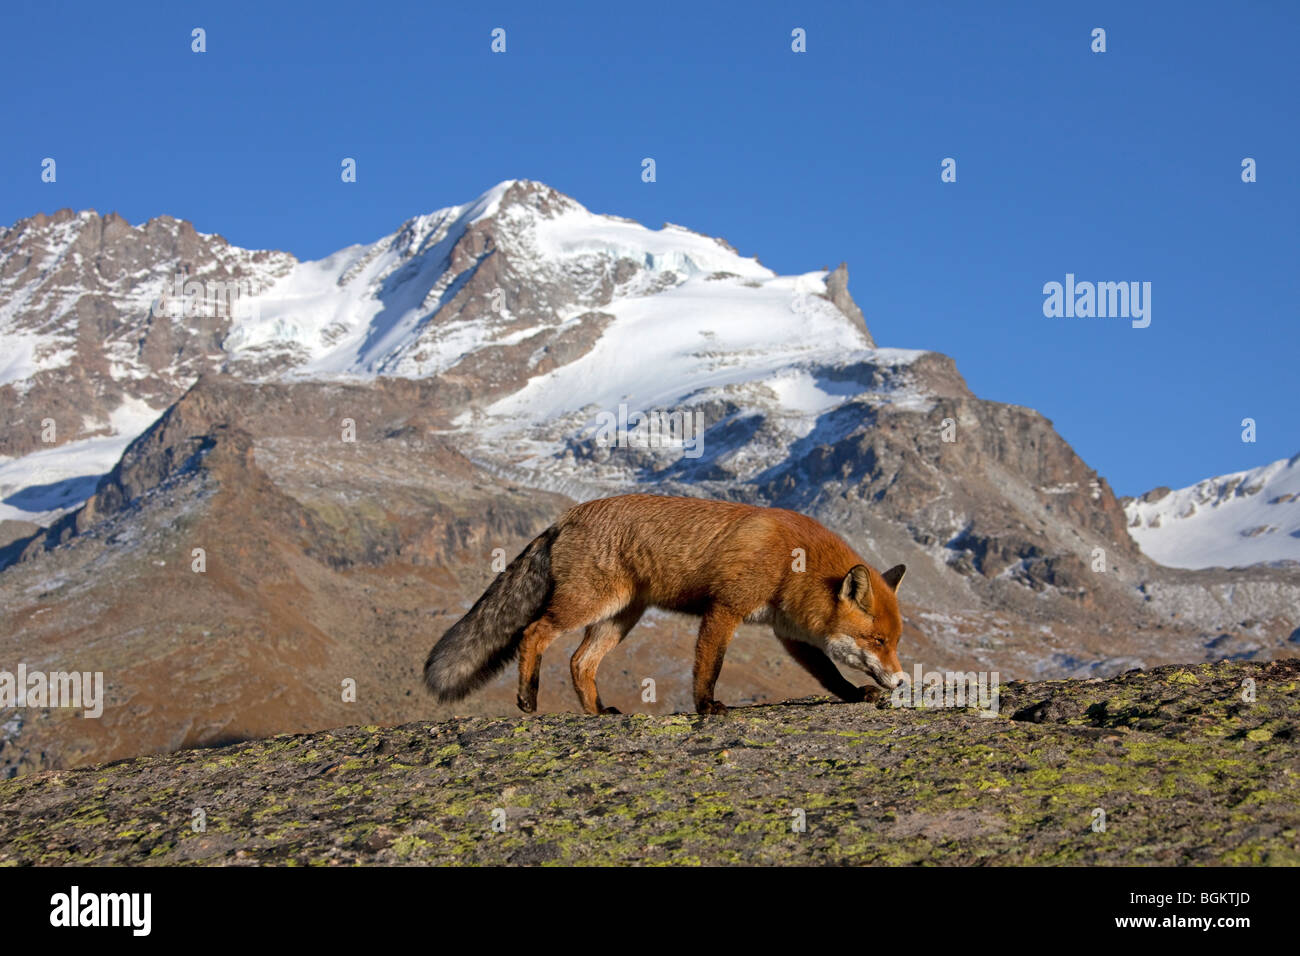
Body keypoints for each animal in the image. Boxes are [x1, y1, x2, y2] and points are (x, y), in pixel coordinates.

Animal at [422, 493, 908, 716]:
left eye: (896, 642)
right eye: (878, 640)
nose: (903, 681)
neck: (794, 562)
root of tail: (566, 516)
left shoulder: (790, 635)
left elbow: (829, 676)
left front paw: (854, 694)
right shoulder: (724, 609)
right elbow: (708, 667)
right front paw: (707, 707)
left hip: (619, 618)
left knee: (580, 661)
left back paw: (597, 713)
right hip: (586, 605)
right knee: (533, 632)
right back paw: (527, 696)